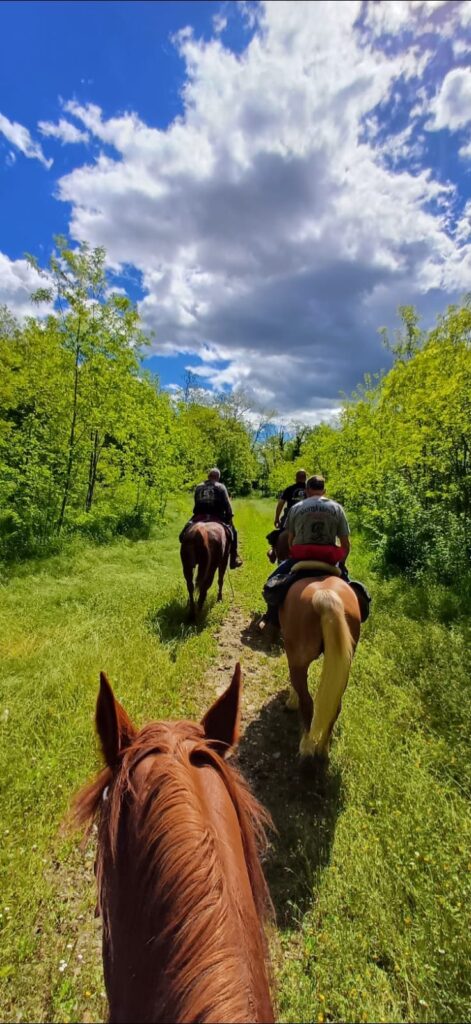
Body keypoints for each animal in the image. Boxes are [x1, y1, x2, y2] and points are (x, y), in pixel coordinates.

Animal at [280, 577, 360, 761]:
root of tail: (323, 595)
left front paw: (291, 701)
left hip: (298, 660)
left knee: (307, 702)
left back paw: (306, 746)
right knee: (336, 708)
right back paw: (323, 748)